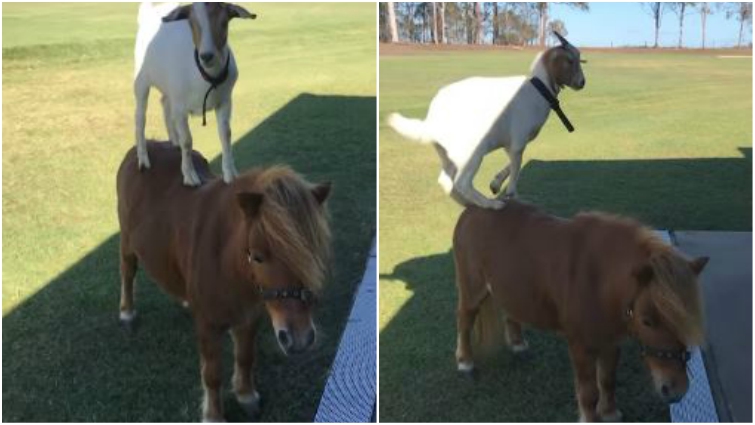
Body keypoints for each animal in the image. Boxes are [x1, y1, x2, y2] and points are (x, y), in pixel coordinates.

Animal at [116, 141, 331, 422]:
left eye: (312, 252)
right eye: (257, 256)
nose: (300, 340)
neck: (228, 263)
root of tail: (143, 147)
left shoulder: (250, 316)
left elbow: (245, 356)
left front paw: (246, 394)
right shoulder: (208, 325)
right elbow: (212, 374)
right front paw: (214, 415)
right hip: (127, 242)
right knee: (128, 272)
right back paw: (127, 313)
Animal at [134, 2, 255, 186]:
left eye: (224, 23)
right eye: (192, 24)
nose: (206, 56)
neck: (206, 76)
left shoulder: (225, 101)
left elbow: (225, 134)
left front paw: (230, 173)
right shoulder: (180, 108)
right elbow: (187, 141)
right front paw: (190, 176)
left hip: (169, 88)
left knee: (164, 103)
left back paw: (173, 140)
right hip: (141, 80)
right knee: (140, 117)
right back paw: (143, 160)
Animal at [388, 32, 586, 209]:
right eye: (570, 61)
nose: (582, 83)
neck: (539, 89)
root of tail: (431, 121)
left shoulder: (511, 144)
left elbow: (514, 164)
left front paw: (496, 184)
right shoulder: (518, 141)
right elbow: (516, 169)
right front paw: (512, 195)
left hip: (448, 154)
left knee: (446, 181)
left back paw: (469, 204)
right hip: (473, 151)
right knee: (462, 183)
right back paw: (490, 204)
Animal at [452, 200, 708, 422]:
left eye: (688, 321)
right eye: (647, 321)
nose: (675, 390)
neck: (598, 279)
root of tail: (471, 210)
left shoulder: (611, 340)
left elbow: (607, 379)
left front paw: (610, 413)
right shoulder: (580, 345)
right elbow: (589, 392)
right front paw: (592, 417)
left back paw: (517, 343)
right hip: (472, 288)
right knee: (465, 319)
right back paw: (465, 361)